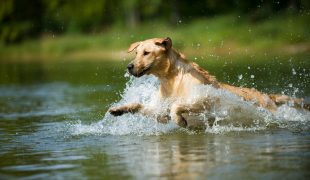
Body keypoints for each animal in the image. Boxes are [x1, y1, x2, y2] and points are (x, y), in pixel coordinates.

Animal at [108, 37, 308, 129]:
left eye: (147, 53)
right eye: (136, 53)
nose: (129, 66)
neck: (171, 80)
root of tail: (268, 96)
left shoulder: (205, 100)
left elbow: (177, 106)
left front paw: (181, 121)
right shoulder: (159, 110)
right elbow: (140, 105)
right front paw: (119, 109)